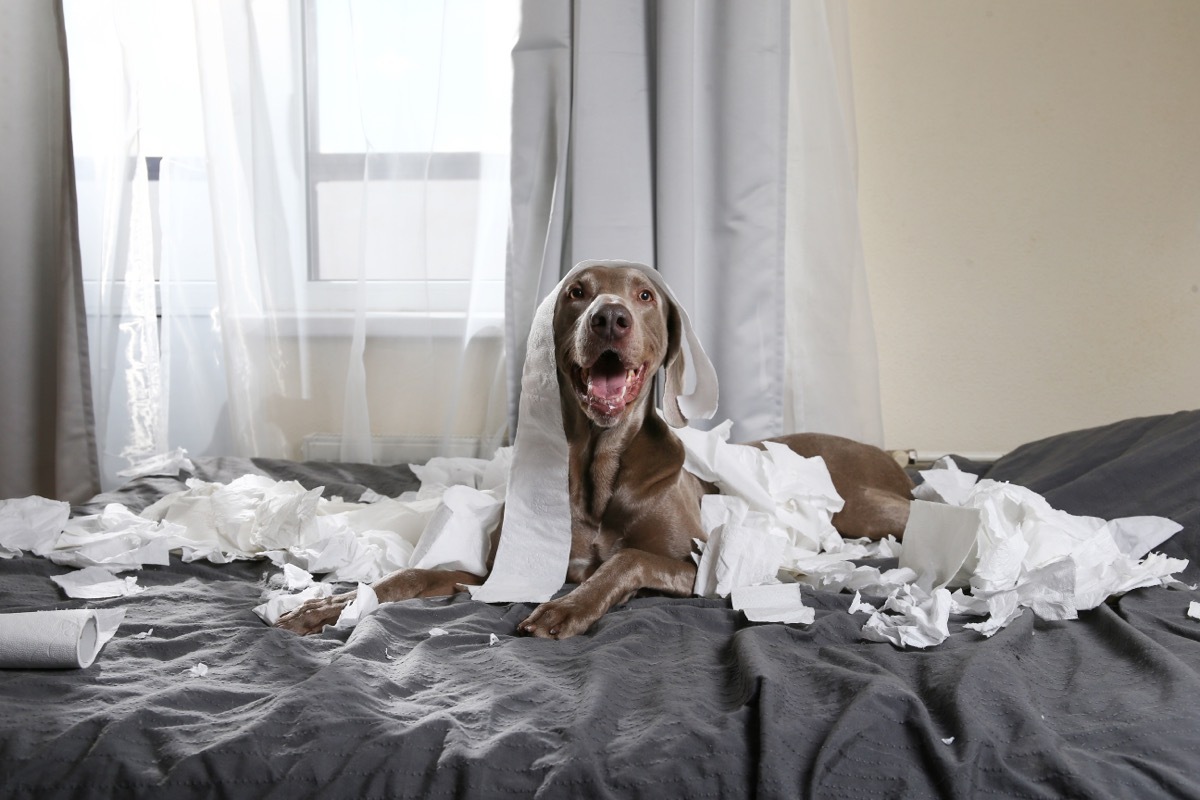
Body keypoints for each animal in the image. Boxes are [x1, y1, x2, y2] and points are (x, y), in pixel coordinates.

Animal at [276, 266, 912, 642]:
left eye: (645, 294)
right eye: (577, 292)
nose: (609, 316)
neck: (597, 469)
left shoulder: (699, 566)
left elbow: (625, 559)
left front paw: (566, 608)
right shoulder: (500, 569)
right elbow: (408, 575)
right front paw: (329, 605)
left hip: (867, 508)